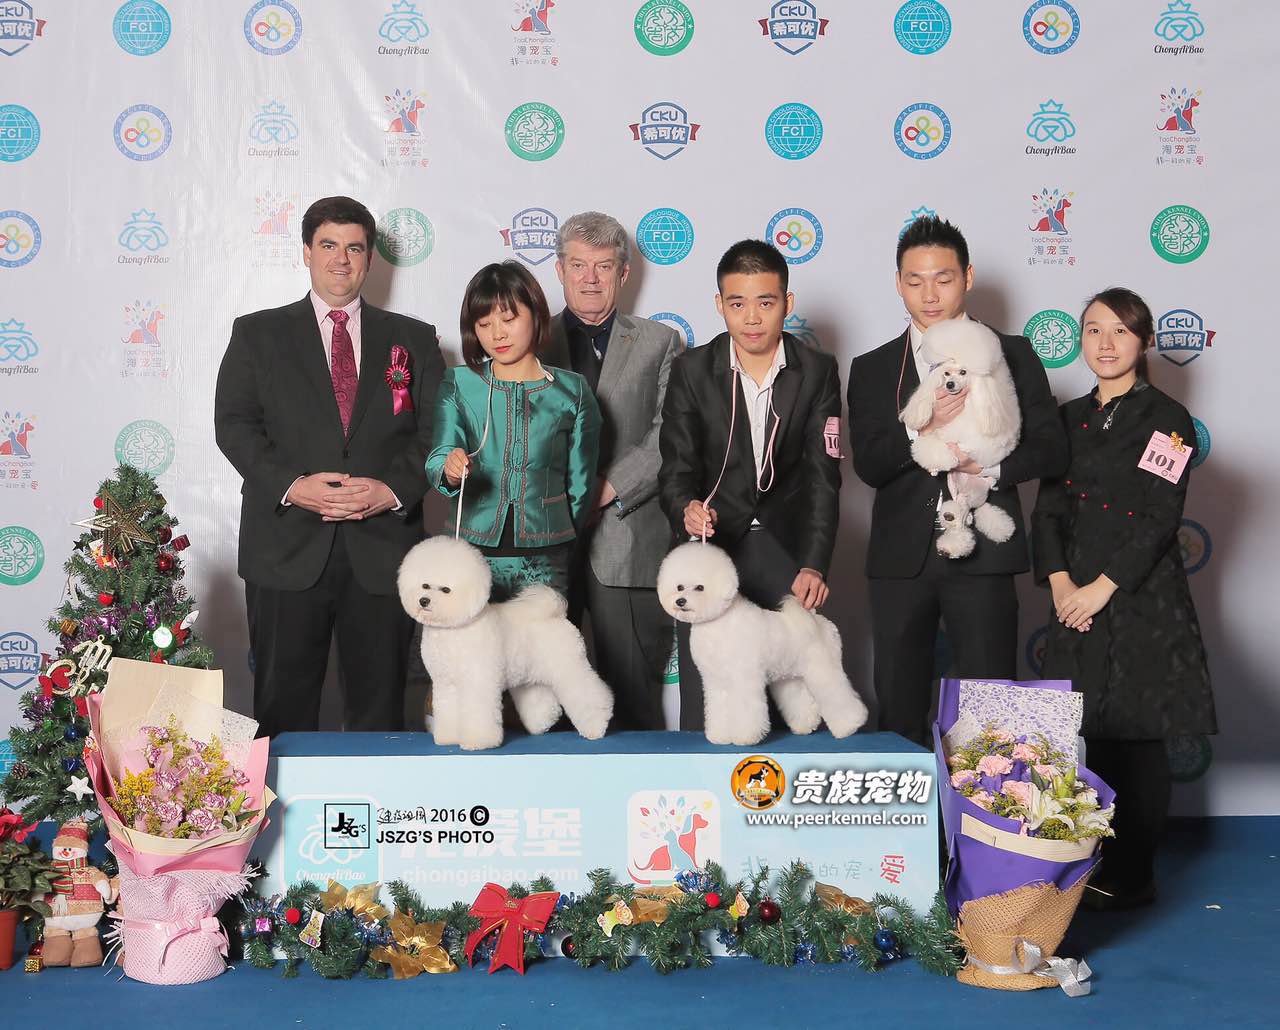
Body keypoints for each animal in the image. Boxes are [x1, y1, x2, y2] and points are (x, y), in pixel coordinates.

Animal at [397, 537, 613, 750]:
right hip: (531, 677)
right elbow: (449, 711)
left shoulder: (477, 680)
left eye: (445, 590)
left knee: (590, 694)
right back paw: (542, 725)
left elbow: (477, 712)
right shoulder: (446, 684)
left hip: (569, 667)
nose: (423, 601)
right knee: (544, 703)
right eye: (425, 586)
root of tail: (556, 614)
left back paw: (596, 727)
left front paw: (477, 741)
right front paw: (449, 737)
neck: (453, 629)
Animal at [657, 542, 868, 746]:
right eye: (679, 587)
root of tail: (817, 621)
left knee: (838, 695)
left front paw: (744, 738)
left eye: (700, 588)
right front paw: (720, 736)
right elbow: (719, 709)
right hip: (793, 676)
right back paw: (804, 726)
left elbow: (745, 709)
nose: (680, 601)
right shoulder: (716, 681)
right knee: (802, 700)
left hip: (823, 668)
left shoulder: (743, 678)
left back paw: (849, 726)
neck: (719, 621)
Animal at [899, 319, 1021, 558]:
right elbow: (931, 445)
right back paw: (951, 528)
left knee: (967, 514)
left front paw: (958, 453)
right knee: (962, 517)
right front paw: (935, 464)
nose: (950, 385)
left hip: (975, 489)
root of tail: (977, 497)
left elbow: (972, 445)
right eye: (946, 374)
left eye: (963, 372)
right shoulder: (937, 432)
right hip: (954, 487)